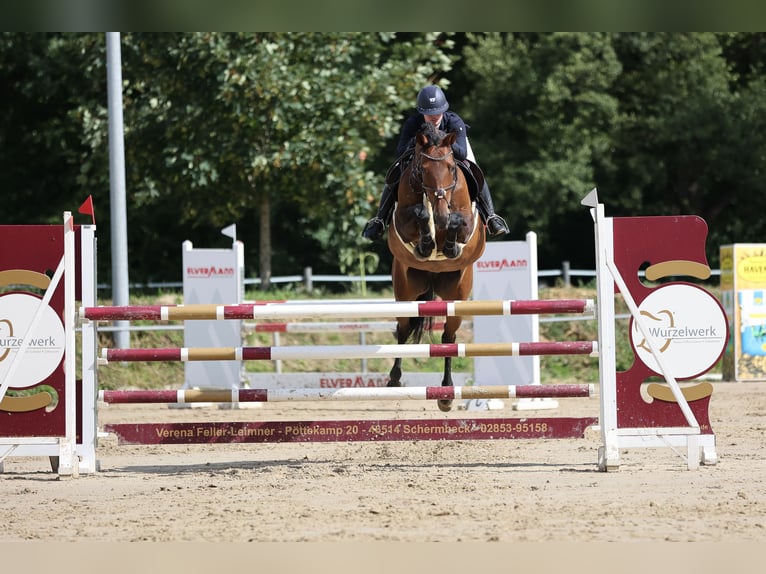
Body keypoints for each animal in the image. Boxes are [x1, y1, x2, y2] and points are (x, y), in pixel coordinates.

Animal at [388, 122, 488, 414]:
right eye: (421, 169)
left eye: (452, 168)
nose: (441, 215)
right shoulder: (402, 220)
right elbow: (419, 213)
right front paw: (426, 243)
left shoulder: (466, 222)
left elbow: (458, 221)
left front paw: (448, 241)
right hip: (406, 293)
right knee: (403, 330)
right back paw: (394, 381)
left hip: (457, 296)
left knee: (448, 338)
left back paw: (446, 394)